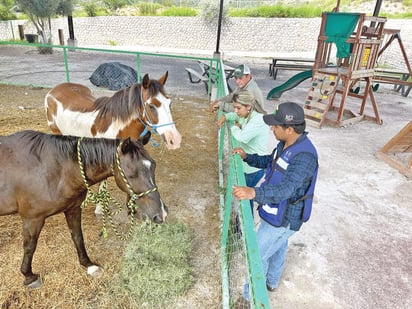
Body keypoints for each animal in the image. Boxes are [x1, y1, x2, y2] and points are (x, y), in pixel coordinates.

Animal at [0, 129, 167, 286]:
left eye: (153, 166)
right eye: (131, 174)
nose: (162, 214)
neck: (52, 169)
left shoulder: (73, 209)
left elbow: (78, 237)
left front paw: (89, 265)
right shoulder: (32, 218)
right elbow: (30, 247)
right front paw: (28, 276)